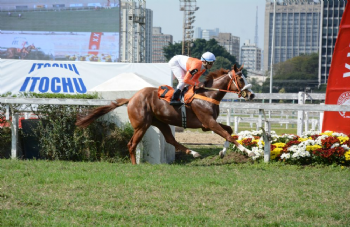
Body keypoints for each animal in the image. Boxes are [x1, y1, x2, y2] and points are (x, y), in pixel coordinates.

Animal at [76, 64, 254, 164]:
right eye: (241, 79)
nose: (251, 95)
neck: (208, 94)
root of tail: (131, 98)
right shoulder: (208, 122)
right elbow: (228, 134)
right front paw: (250, 152)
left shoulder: (208, 123)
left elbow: (229, 131)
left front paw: (222, 152)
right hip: (142, 125)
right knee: (132, 144)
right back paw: (135, 165)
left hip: (160, 122)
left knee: (170, 139)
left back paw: (193, 152)